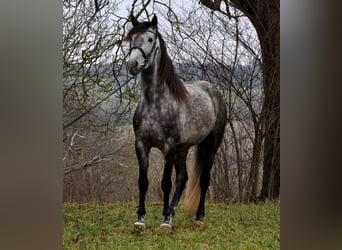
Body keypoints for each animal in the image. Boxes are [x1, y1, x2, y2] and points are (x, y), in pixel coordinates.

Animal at [125, 14, 227, 230]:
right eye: (131, 39)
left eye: (150, 39)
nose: (132, 64)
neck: (154, 102)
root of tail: (213, 90)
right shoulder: (141, 144)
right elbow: (143, 181)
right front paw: (140, 219)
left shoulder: (168, 147)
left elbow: (165, 183)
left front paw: (163, 221)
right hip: (183, 149)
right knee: (183, 179)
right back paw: (172, 213)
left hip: (211, 145)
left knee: (203, 179)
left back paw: (197, 217)